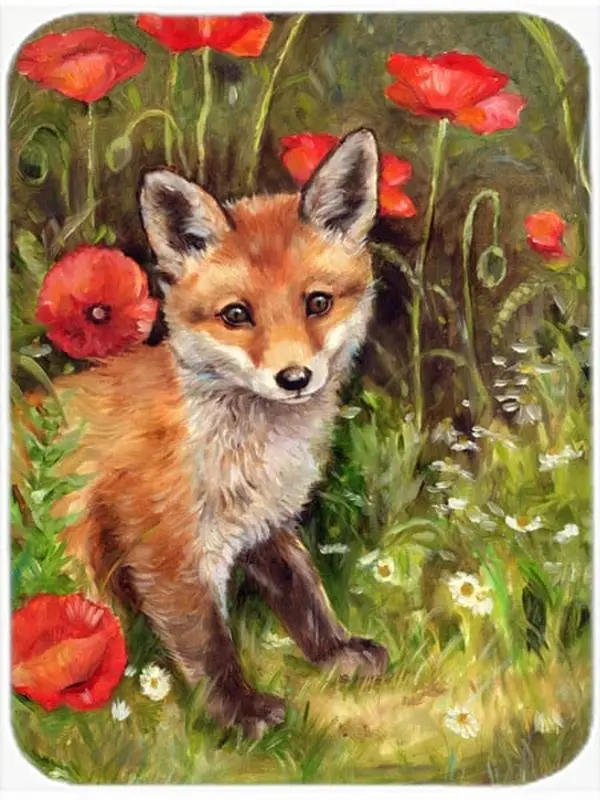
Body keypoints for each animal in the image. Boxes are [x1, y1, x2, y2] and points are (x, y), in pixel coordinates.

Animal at [46, 128, 389, 738]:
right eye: (236, 315)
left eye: (318, 303)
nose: (294, 378)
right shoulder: (163, 547)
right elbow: (208, 644)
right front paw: (238, 713)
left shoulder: (265, 524)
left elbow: (304, 594)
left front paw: (335, 651)